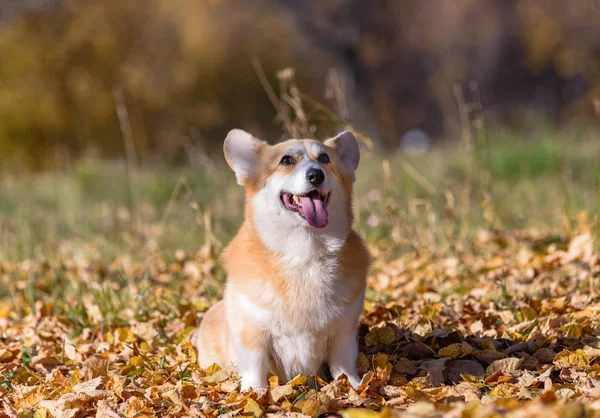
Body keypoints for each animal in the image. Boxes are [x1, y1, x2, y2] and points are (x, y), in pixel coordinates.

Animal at [195, 129, 368, 390]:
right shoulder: (254, 334)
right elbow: (256, 368)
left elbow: (344, 364)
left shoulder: (344, 331)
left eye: (324, 159)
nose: (316, 175)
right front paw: (254, 393)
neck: (304, 253)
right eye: (286, 160)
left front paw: (356, 387)